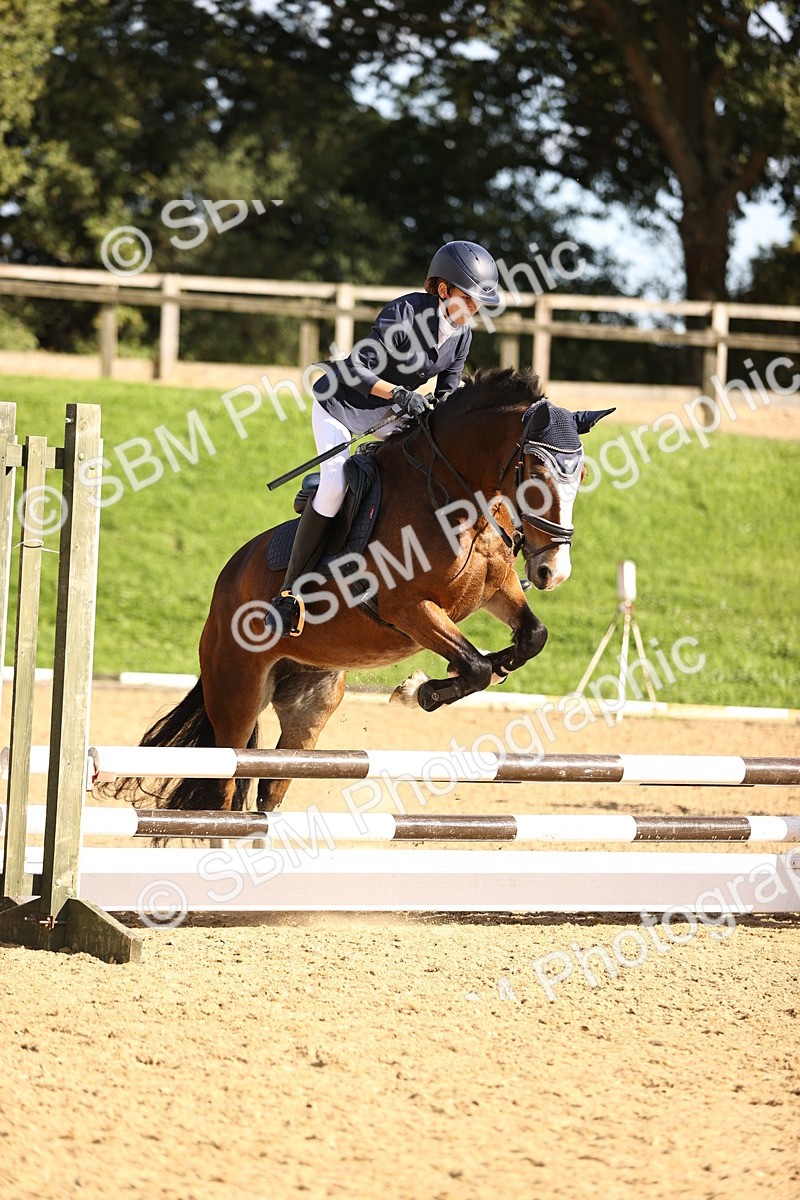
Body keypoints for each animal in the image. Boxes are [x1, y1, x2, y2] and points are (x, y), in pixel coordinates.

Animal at [113, 367, 613, 813]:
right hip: (235, 696)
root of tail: (221, 594)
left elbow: (531, 638)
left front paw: (464, 673)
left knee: (269, 789)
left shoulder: (497, 590)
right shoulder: (409, 609)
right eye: (536, 470)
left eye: (582, 475)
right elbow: (473, 667)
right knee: (223, 791)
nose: (553, 571)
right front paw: (420, 691)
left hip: (309, 704)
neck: (457, 496)